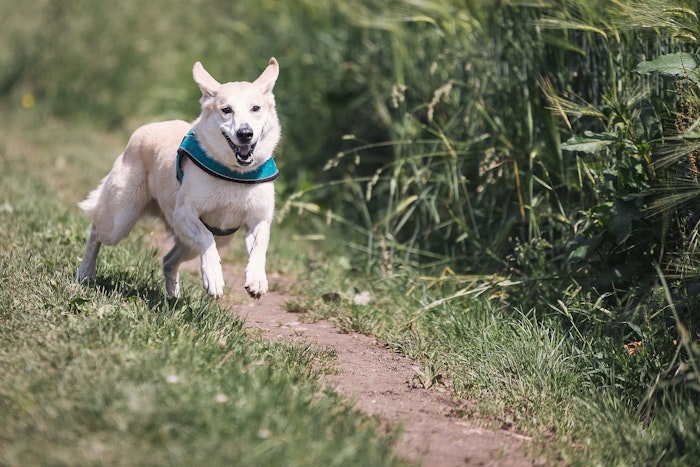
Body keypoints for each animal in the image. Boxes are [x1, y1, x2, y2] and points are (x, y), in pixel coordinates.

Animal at [74, 59, 282, 300]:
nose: (245, 133)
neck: (234, 174)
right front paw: (214, 277)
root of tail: (145, 129)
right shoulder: (184, 213)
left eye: (255, 108)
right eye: (226, 110)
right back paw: (85, 273)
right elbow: (206, 237)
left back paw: (173, 296)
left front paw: (256, 279)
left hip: (196, 243)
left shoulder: (258, 220)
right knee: (96, 231)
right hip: (119, 220)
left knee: (168, 260)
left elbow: (260, 246)